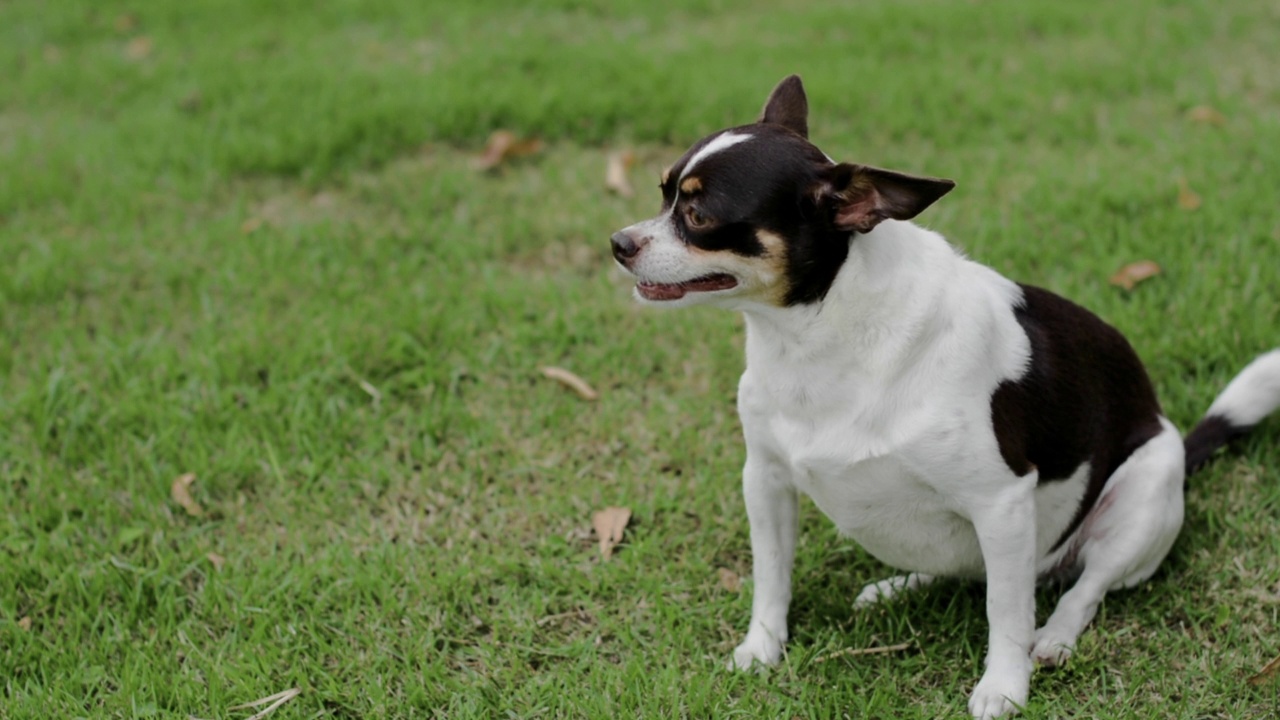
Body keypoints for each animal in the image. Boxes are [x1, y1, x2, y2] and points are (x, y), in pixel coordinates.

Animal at [606, 75, 1280, 712]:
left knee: (1079, 589)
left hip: (1141, 500)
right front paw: (762, 647)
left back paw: (1053, 639)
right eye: (663, 193)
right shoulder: (765, 480)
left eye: (699, 217)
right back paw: (895, 587)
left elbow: (1005, 614)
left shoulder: (1002, 503)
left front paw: (1004, 687)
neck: (817, 338)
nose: (618, 243)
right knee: (968, 572)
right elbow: (771, 576)